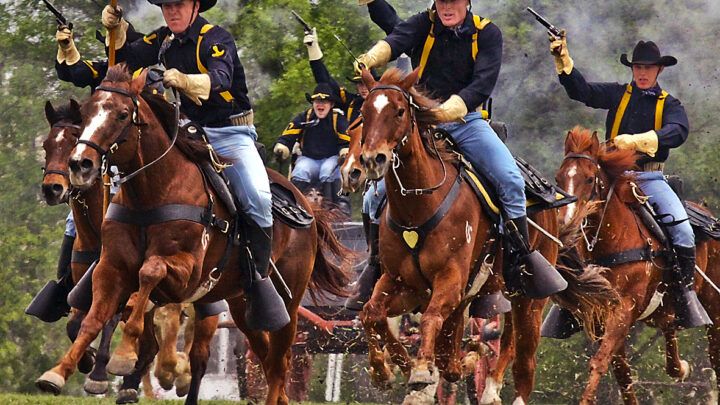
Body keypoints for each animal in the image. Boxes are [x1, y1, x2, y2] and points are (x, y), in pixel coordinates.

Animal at [36, 64, 352, 404]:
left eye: (121, 114)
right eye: (87, 113)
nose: (79, 165)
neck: (153, 192)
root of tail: (307, 209)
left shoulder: (184, 277)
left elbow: (149, 274)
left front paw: (124, 359)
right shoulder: (109, 271)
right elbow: (90, 322)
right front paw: (60, 372)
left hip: (286, 308)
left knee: (276, 363)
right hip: (244, 308)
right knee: (267, 360)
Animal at [354, 69, 612, 404]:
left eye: (399, 111)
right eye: (364, 112)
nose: (373, 159)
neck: (419, 206)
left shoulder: (449, 281)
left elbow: (431, 320)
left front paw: (421, 370)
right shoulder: (402, 284)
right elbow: (372, 314)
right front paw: (385, 369)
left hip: (529, 300)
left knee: (522, 361)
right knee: (476, 348)